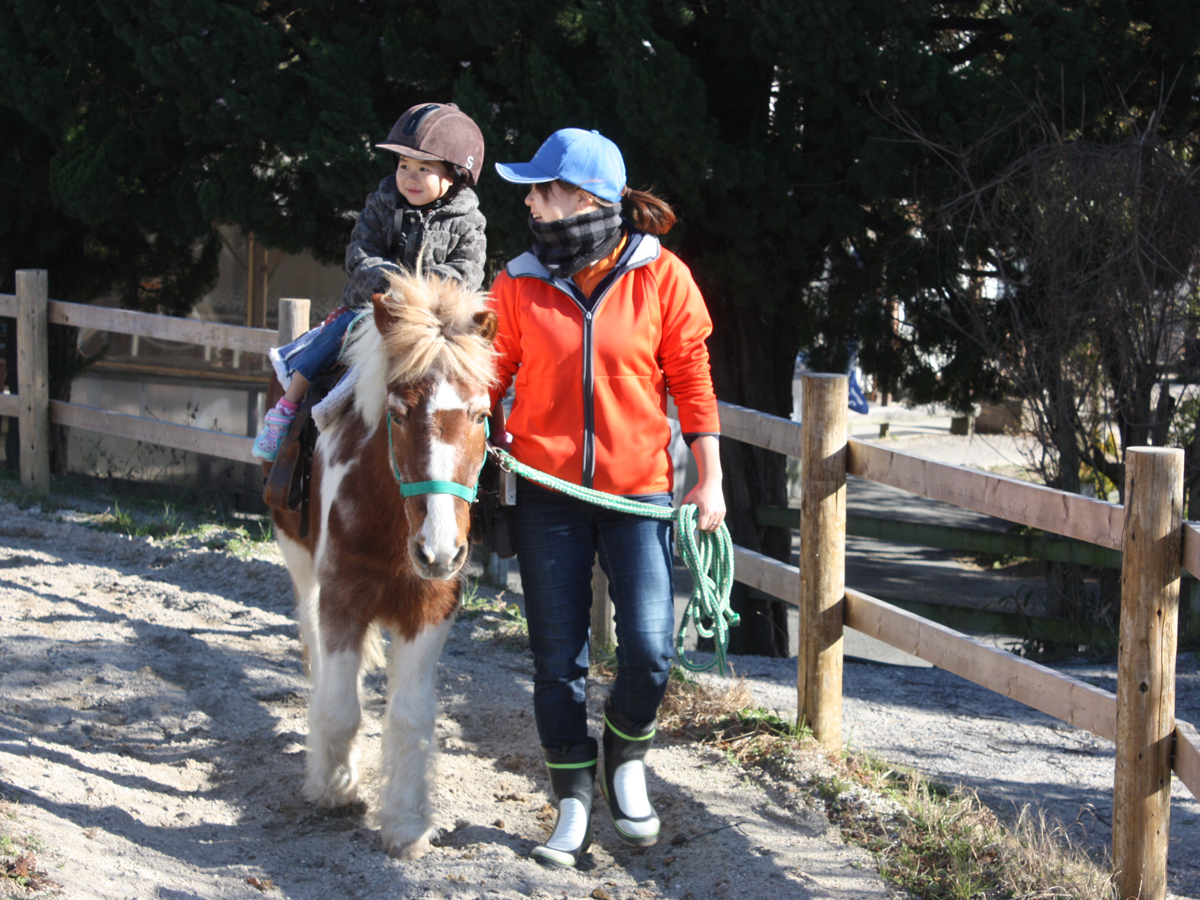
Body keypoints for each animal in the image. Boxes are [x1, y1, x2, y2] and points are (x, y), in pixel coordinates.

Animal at [271, 271, 496, 864]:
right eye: (397, 412)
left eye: (481, 414)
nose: (438, 551)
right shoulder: (342, 598)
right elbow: (340, 706)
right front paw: (333, 787)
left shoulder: (431, 610)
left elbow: (411, 717)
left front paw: (406, 822)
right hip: (302, 573)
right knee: (314, 654)